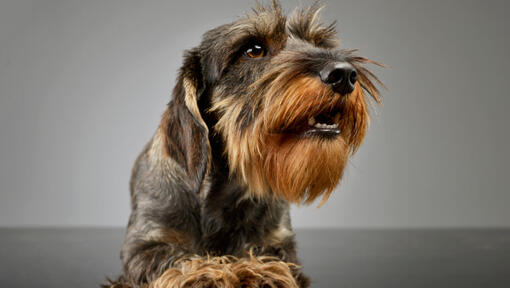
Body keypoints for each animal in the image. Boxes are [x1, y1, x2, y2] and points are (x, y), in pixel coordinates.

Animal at [108, 1, 378, 286]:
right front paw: (221, 271)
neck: (227, 190)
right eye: (253, 50)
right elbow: (180, 259)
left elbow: (272, 255)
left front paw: (255, 268)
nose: (344, 74)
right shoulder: (143, 246)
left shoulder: (280, 242)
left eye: (319, 44)